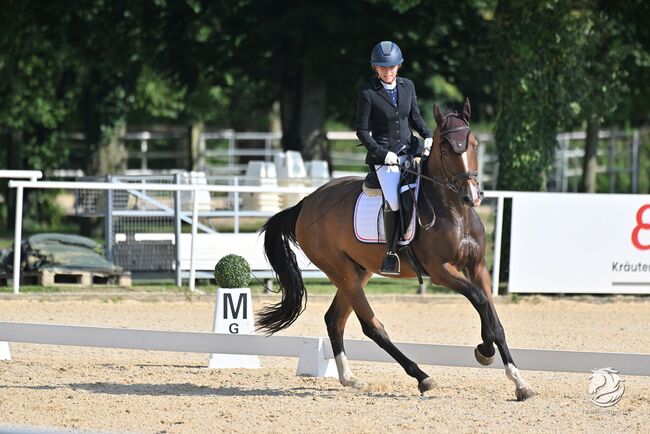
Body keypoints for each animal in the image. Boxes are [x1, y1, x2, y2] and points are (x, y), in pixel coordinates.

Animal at [257, 98, 536, 401]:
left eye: (473, 143)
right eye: (445, 147)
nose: (471, 196)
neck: (455, 211)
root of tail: (306, 203)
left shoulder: (477, 267)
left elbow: (494, 318)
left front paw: (519, 381)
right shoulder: (441, 271)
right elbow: (479, 299)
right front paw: (485, 351)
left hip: (359, 271)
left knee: (335, 319)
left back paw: (350, 379)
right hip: (341, 271)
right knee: (371, 326)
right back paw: (422, 377)